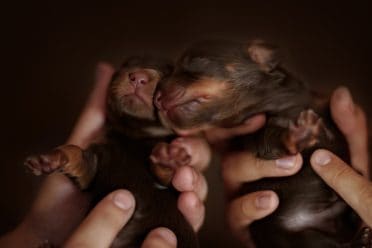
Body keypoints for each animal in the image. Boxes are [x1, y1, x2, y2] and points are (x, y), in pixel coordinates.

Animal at [24, 56, 199, 248]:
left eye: (169, 74)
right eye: (126, 65)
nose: (138, 77)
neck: (133, 136)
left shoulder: (171, 185)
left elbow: (168, 178)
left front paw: (168, 158)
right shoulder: (93, 164)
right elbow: (76, 153)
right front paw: (51, 159)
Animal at [155, 40, 370, 248]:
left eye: (196, 61)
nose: (156, 96)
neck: (276, 103)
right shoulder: (254, 137)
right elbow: (272, 140)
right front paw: (301, 133)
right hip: (287, 235)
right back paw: (359, 240)